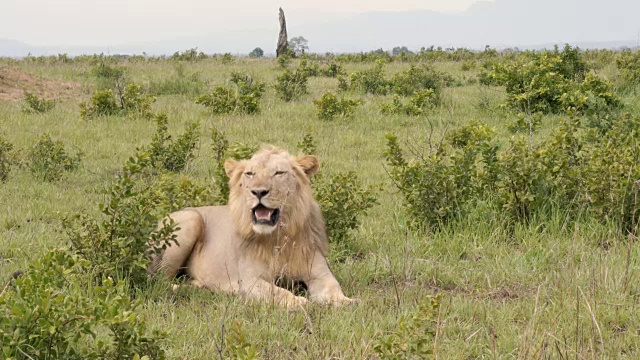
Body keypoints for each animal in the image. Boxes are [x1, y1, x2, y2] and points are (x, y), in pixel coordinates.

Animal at [149, 145, 356, 308]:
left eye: (279, 173)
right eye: (250, 173)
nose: (258, 191)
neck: (279, 236)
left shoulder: (320, 273)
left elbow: (333, 287)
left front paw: (346, 301)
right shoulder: (250, 280)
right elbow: (277, 292)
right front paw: (299, 301)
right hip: (191, 219)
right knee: (159, 279)